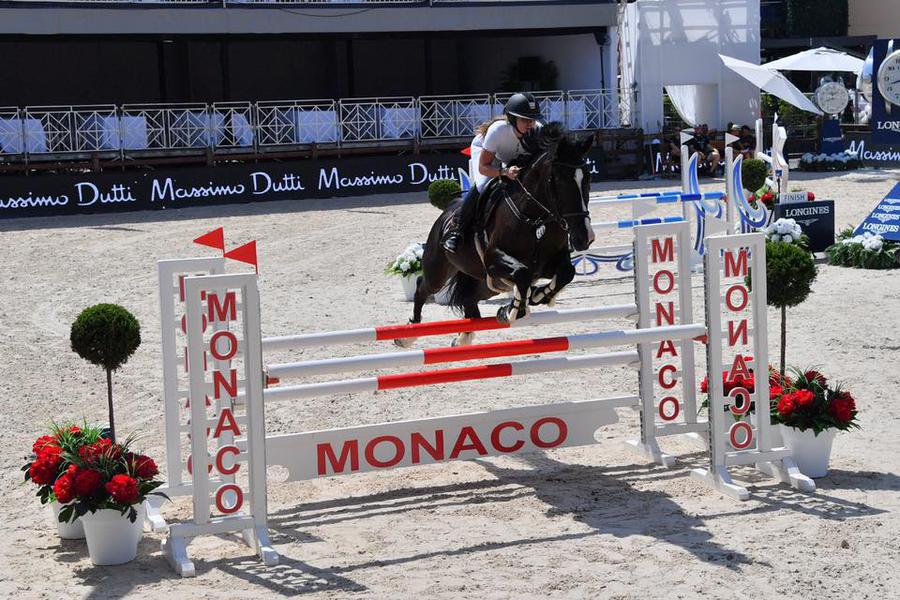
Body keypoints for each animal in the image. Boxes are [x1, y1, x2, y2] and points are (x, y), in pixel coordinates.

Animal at [400, 123, 595, 347]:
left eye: (587, 178)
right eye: (560, 181)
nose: (585, 238)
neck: (535, 219)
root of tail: (445, 214)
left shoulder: (547, 263)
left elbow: (566, 272)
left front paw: (538, 296)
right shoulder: (494, 259)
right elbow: (522, 273)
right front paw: (514, 310)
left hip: (486, 284)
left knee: (468, 296)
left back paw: (463, 337)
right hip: (439, 271)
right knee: (422, 286)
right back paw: (408, 334)